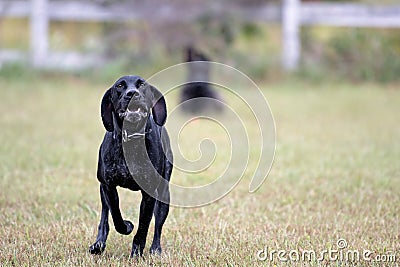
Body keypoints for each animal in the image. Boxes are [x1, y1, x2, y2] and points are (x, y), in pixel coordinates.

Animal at [89, 75, 172, 258]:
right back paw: (98, 244)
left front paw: (136, 252)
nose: (132, 93)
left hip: (164, 194)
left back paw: (156, 249)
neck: (132, 140)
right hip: (102, 190)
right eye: (120, 86)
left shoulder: (149, 194)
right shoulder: (108, 186)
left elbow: (143, 225)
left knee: (158, 226)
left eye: (142, 85)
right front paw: (127, 226)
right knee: (104, 218)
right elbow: (116, 216)